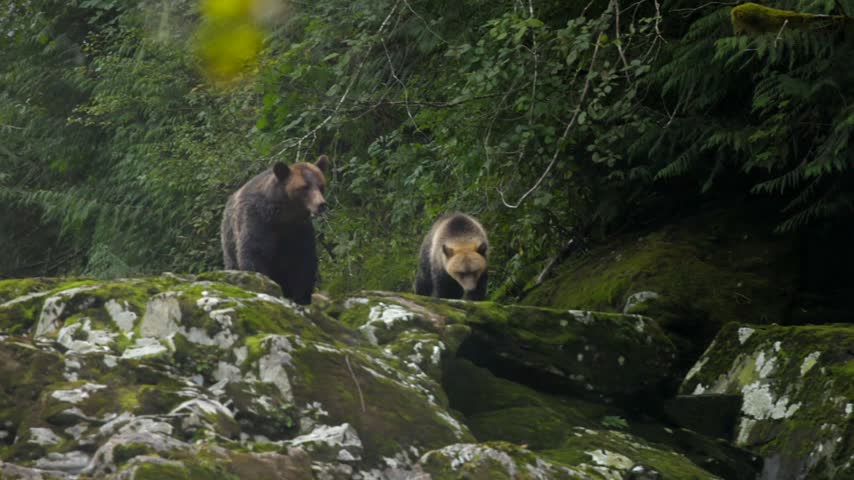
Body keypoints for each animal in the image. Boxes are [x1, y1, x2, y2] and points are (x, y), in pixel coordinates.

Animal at [220, 155, 329, 305]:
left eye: (321, 185)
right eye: (304, 187)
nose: (321, 205)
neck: (283, 216)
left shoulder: (298, 229)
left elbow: (303, 261)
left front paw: (301, 297)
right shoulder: (257, 220)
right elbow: (255, 252)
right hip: (229, 239)